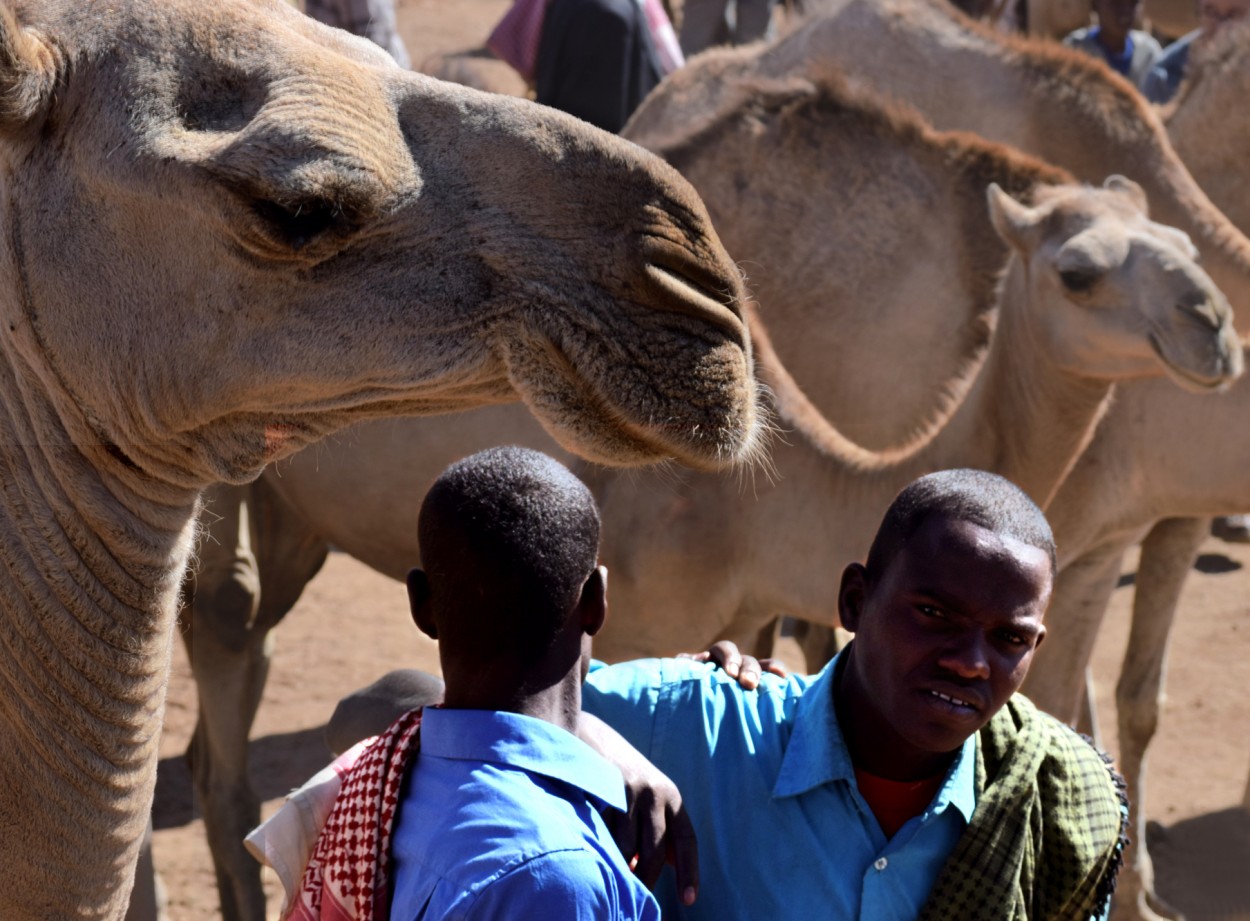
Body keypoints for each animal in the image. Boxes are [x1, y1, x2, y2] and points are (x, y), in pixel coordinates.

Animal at [181, 73, 1245, 919]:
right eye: (1079, 273)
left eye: (1177, 240)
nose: (1213, 329)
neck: (772, 498)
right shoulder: (647, 610)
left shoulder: (743, 610)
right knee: (223, 619)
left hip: (293, 507)